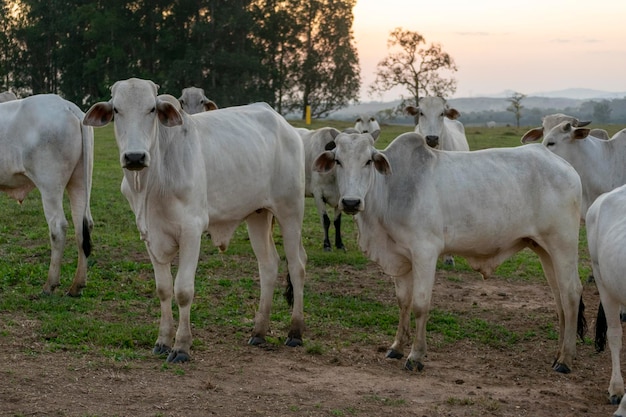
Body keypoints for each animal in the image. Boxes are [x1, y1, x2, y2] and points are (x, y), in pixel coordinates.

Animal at [0, 94, 94, 296]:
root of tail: (68, 106)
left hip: (50, 184)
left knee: (58, 227)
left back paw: (50, 285)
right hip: (81, 181)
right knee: (83, 226)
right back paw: (77, 285)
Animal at [83, 77, 308, 360]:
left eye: (152, 109)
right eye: (116, 110)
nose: (135, 157)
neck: (153, 181)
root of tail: (284, 124)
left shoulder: (191, 231)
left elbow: (183, 290)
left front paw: (181, 346)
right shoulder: (149, 235)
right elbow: (163, 289)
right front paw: (162, 341)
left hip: (291, 212)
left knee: (297, 266)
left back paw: (295, 332)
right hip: (258, 215)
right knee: (268, 266)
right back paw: (258, 331)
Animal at [312, 129, 584, 370]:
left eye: (368, 160)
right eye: (338, 161)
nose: (351, 202)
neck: (391, 190)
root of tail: (566, 166)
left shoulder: (425, 252)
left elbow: (420, 304)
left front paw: (416, 356)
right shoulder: (401, 259)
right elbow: (403, 302)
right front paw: (397, 347)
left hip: (563, 245)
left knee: (571, 293)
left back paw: (565, 360)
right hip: (544, 250)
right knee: (559, 299)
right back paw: (558, 354)